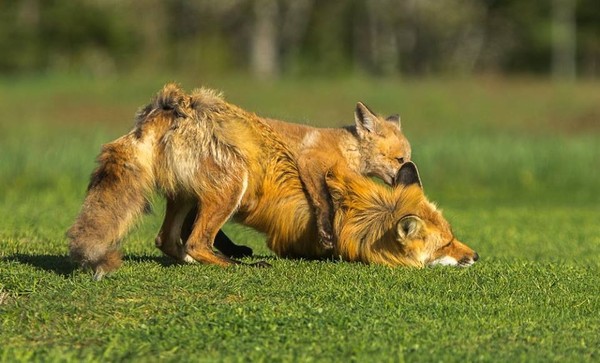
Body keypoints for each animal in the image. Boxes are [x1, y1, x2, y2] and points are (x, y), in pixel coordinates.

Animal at [67, 84, 478, 280]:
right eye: (399, 158)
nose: (475, 257)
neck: (347, 148)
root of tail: (174, 106)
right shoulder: (313, 165)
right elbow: (322, 204)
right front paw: (327, 232)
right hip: (233, 183)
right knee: (196, 240)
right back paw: (235, 263)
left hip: (188, 193)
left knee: (171, 239)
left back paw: (212, 255)